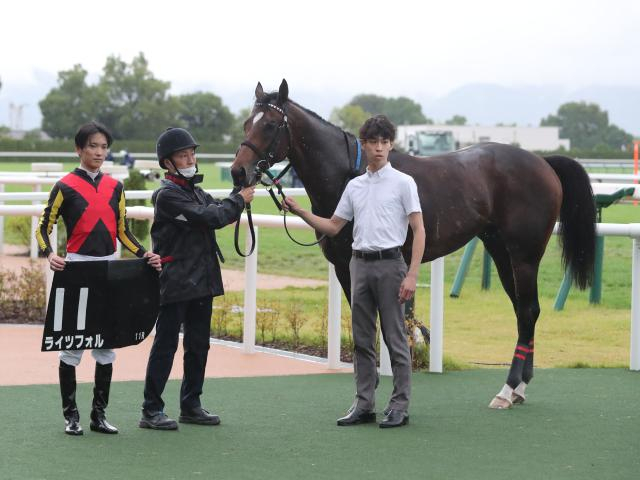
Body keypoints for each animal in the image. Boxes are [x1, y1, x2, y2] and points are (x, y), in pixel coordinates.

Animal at [232, 79, 596, 408]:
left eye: (270, 124)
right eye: (247, 123)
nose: (238, 172)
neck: (353, 175)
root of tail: (543, 162)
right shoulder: (346, 270)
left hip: (524, 255)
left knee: (529, 310)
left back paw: (508, 390)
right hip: (500, 251)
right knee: (523, 312)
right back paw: (518, 388)